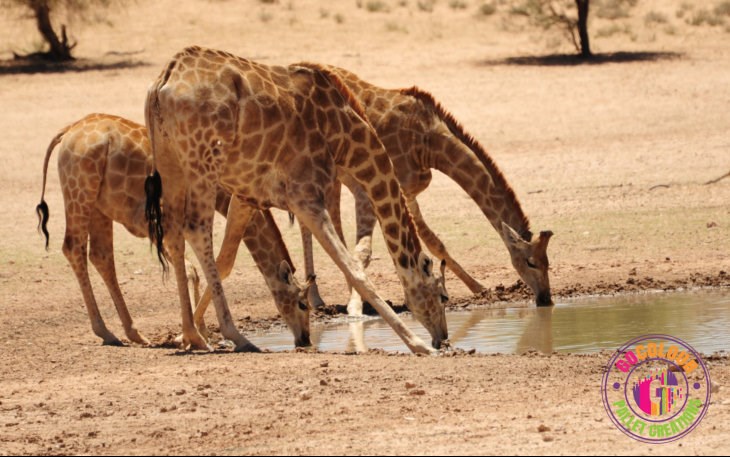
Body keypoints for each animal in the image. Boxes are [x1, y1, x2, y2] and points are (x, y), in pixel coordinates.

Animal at [35, 113, 312, 346]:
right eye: (302, 304)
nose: (305, 340)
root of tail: (66, 133)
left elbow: (202, 266)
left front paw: (198, 332)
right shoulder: (227, 202)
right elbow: (217, 262)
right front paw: (195, 334)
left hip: (98, 207)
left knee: (101, 256)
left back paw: (133, 334)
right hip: (80, 193)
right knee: (73, 248)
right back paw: (106, 331)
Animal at [144, 45, 446, 352]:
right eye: (442, 296)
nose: (443, 337)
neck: (345, 137)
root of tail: (162, 84)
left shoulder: (249, 196)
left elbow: (226, 259)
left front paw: (182, 336)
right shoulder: (306, 195)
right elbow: (351, 267)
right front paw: (418, 345)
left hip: (170, 162)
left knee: (174, 235)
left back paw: (192, 335)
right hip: (203, 163)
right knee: (196, 228)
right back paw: (236, 336)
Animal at [296, 64, 552, 312]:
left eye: (548, 261)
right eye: (530, 261)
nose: (546, 298)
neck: (430, 143)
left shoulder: (409, 192)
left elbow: (433, 241)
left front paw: (479, 287)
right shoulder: (393, 185)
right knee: (312, 221)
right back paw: (318, 298)